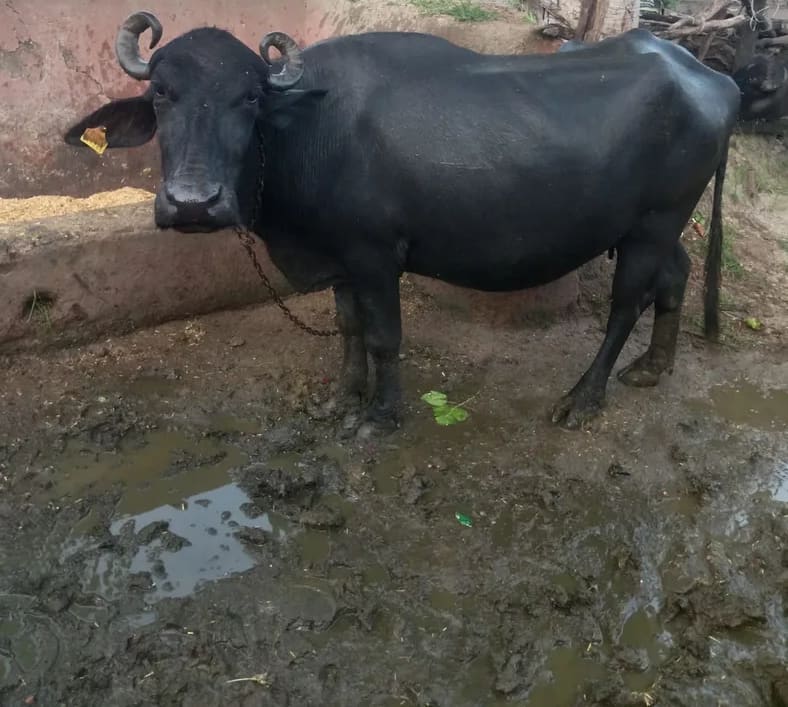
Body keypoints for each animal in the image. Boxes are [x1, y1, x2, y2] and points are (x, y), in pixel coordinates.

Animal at [65, 15, 740, 437]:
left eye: (250, 98)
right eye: (161, 94)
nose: (194, 204)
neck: (309, 132)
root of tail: (711, 76)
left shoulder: (374, 256)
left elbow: (385, 336)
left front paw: (380, 416)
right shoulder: (337, 257)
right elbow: (348, 329)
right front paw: (343, 397)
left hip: (653, 224)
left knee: (627, 303)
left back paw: (582, 398)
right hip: (662, 226)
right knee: (675, 277)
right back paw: (653, 367)